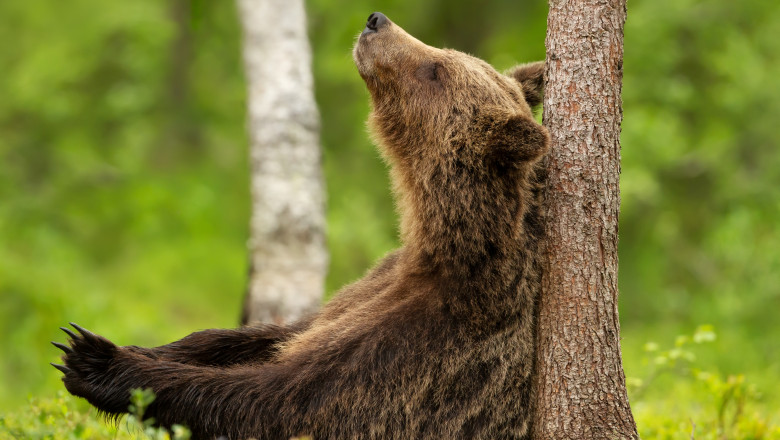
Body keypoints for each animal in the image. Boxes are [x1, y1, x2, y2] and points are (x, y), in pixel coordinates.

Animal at [51, 12, 548, 438]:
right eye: (443, 54)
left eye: (436, 68)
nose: (376, 21)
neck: (434, 239)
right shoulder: (366, 291)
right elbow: (275, 333)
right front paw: (145, 347)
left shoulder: (426, 350)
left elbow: (279, 399)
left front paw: (96, 359)